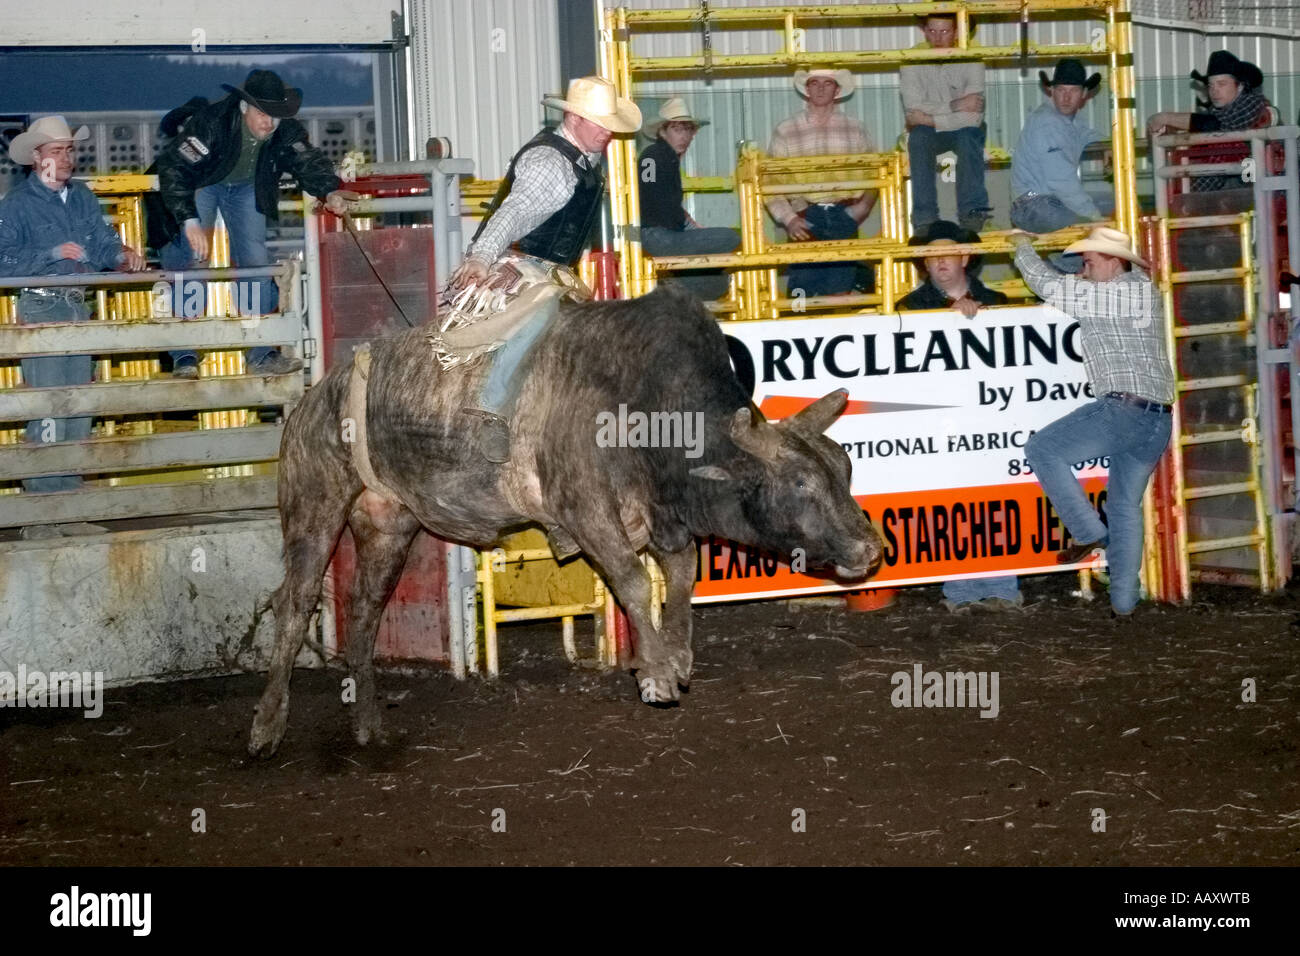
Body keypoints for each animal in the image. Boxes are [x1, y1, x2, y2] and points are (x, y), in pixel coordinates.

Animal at [248, 280, 883, 759]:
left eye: (846, 468)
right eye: (798, 484)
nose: (870, 549)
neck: (646, 405)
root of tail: (314, 396)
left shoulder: (663, 515)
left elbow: (680, 575)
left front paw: (677, 656)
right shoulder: (586, 510)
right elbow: (632, 580)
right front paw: (655, 674)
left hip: (388, 524)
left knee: (364, 611)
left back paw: (369, 724)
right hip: (315, 503)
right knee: (295, 602)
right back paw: (267, 727)